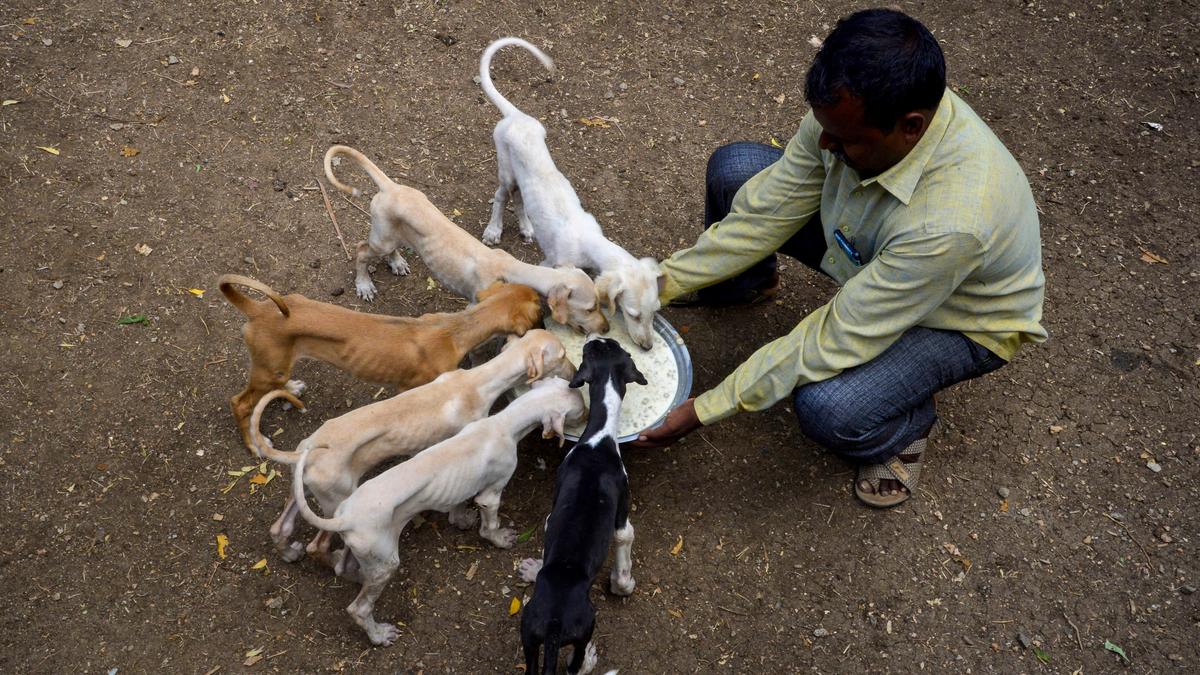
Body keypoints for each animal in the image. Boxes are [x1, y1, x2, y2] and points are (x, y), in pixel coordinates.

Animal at [218, 273, 542, 451]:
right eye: (539, 305)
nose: (546, 300)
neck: (455, 330)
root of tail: (258, 309)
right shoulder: (411, 388)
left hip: (276, 367)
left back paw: (293, 388)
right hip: (267, 372)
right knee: (239, 403)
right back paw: (253, 444)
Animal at [295, 374, 585, 643]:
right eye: (579, 410)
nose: (587, 409)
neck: (502, 423)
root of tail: (345, 519)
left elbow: (457, 505)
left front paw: (461, 520)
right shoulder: (490, 495)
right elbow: (490, 525)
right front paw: (501, 539)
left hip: (364, 549)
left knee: (344, 569)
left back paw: (356, 577)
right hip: (386, 560)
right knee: (359, 609)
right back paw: (379, 636)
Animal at [324, 144, 609, 333]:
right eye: (590, 308)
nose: (606, 329)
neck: (512, 269)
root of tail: (391, 186)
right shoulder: (474, 304)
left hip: (393, 234)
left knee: (388, 249)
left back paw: (397, 263)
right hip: (381, 237)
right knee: (361, 250)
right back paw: (364, 285)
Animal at [477, 37, 667, 348]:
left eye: (655, 312)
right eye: (633, 314)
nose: (647, 347)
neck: (589, 241)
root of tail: (516, 116)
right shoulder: (551, 264)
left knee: (519, 200)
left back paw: (527, 227)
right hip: (505, 170)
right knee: (501, 196)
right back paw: (493, 230)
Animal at [518, 336, 648, 672]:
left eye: (609, 345)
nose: (594, 336)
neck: (598, 439)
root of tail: (553, 623)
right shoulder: (621, 511)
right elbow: (625, 539)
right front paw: (623, 583)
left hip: (529, 637)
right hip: (582, 629)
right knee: (572, 666)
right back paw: (588, 660)